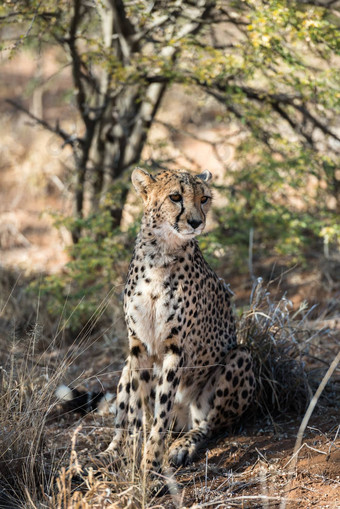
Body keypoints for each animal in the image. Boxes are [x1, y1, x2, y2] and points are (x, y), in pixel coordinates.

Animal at [101, 169, 255, 470]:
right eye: (175, 197)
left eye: (204, 198)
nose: (196, 222)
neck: (159, 254)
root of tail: (182, 421)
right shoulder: (138, 346)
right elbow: (138, 410)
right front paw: (133, 459)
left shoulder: (175, 348)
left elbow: (160, 412)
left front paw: (151, 463)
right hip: (126, 363)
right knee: (122, 418)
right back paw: (108, 454)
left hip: (239, 358)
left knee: (207, 424)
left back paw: (181, 446)